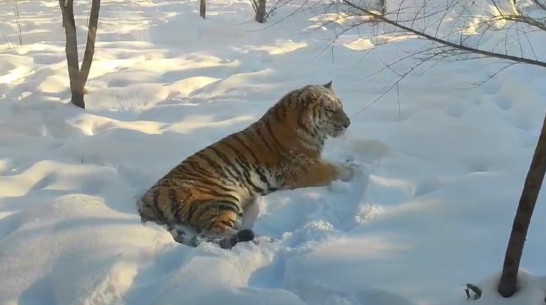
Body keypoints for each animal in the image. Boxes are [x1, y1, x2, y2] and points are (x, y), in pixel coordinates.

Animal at [137, 79, 352, 248]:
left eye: (341, 105)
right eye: (330, 110)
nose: (348, 123)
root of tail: (147, 198)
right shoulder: (303, 170)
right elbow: (334, 169)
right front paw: (353, 170)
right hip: (220, 201)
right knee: (211, 238)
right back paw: (263, 242)